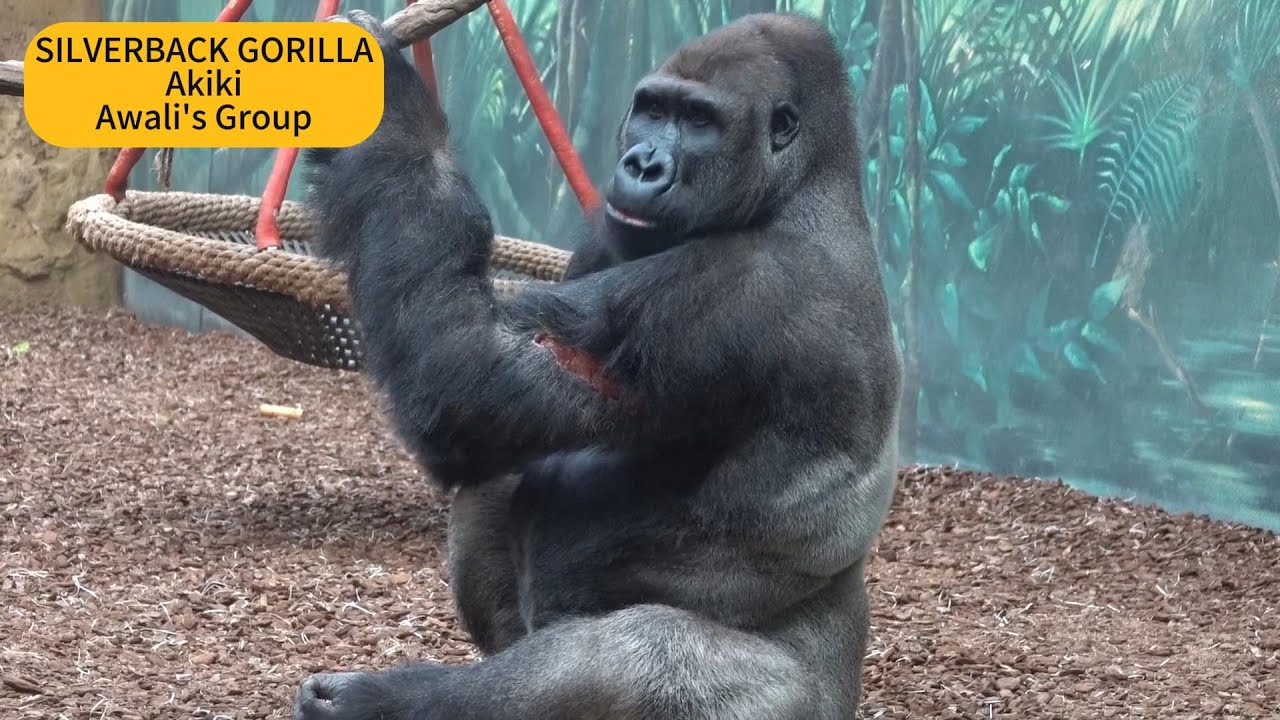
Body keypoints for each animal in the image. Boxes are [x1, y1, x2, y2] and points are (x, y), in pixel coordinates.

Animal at [293, 9, 901, 719]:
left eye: (700, 121)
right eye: (653, 109)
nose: (642, 163)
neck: (803, 187)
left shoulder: (737, 294)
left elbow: (464, 378)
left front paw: (383, 97)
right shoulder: (609, 234)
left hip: (797, 706)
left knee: (631, 654)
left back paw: (393, 700)